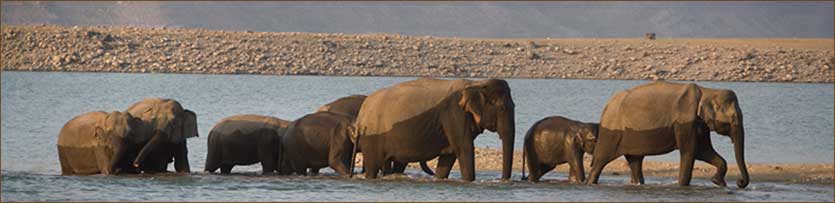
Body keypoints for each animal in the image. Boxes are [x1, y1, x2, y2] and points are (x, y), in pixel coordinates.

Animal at [352, 77, 516, 181]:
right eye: (502, 108)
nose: (503, 181)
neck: (477, 83)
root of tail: (361, 113)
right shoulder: (454, 114)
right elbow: (464, 149)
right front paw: (469, 181)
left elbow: (449, 156)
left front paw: (440, 178)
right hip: (372, 137)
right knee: (373, 166)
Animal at [588, 80, 752, 188]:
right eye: (733, 119)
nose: (740, 182)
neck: (707, 91)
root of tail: (606, 107)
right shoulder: (685, 122)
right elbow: (690, 152)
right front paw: (682, 187)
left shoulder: (699, 124)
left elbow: (703, 151)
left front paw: (718, 182)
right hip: (611, 133)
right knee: (600, 160)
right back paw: (590, 183)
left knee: (635, 161)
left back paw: (638, 184)